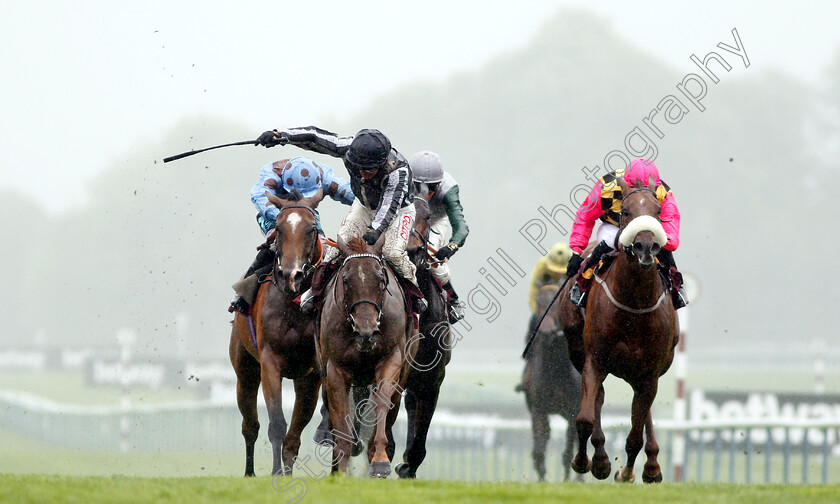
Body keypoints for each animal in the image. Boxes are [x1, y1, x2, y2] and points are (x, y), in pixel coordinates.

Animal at [230, 189, 324, 476]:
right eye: (278, 228)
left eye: (312, 228)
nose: (291, 275)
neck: (292, 305)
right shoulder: (270, 364)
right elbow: (277, 425)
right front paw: (275, 473)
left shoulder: (312, 374)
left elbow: (294, 435)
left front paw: (287, 471)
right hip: (245, 371)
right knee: (250, 425)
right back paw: (249, 472)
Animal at [316, 235, 418, 476]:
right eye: (345, 279)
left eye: (381, 278)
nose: (366, 332)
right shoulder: (335, 369)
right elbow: (341, 415)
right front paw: (340, 469)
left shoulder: (391, 358)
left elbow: (382, 401)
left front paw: (380, 459)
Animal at [520, 286, 580, 482]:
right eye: (538, 303)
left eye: (556, 303)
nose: (546, 332)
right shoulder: (539, 409)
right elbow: (539, 450)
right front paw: (542, 479)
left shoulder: (573, 411)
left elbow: (568, 452)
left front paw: (567, 480)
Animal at [560, 177, 680, 484]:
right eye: (625, 211)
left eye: (658, 211)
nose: (646, 247)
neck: (633, 305)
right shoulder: (594, 360)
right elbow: (585, 419)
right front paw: (587, 462)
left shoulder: (650, 371)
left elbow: (635, 434)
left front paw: (627, 472)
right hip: (580, 353)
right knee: (599, 398)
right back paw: (601, 457)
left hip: (647, 371)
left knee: (643, 410)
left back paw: (651, 465)